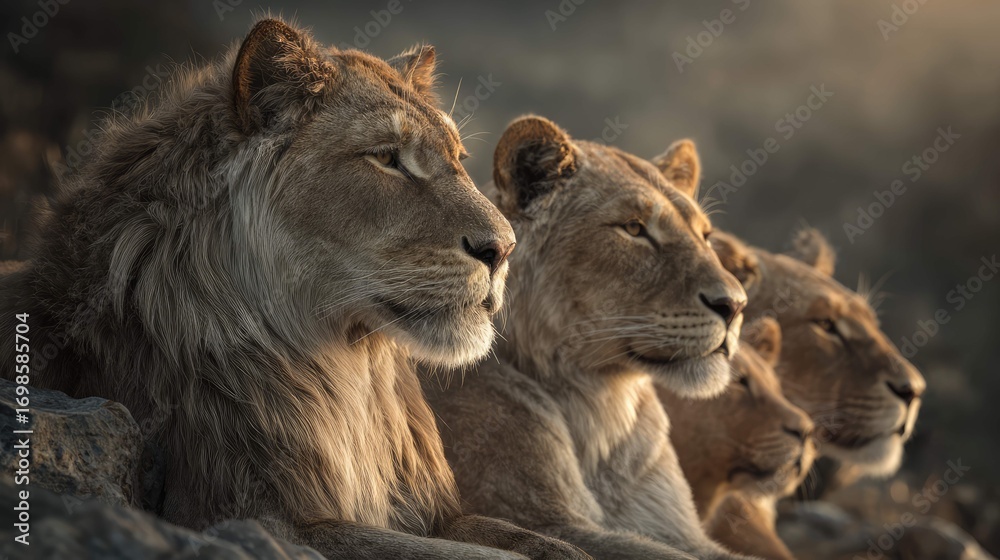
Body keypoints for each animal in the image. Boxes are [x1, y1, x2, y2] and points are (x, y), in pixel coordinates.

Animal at [0, 19, 589, 559]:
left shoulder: (436, 513)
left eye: (458, 159)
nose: (504, 248)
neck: (349, 374)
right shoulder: (261, 514)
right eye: (386, 157)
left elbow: (548, 546)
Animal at [426, 116, 752, 560]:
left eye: (705, 234)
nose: (736, 304)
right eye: (633, 229)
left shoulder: (674, 528)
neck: (600, 406)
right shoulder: (545, 521)